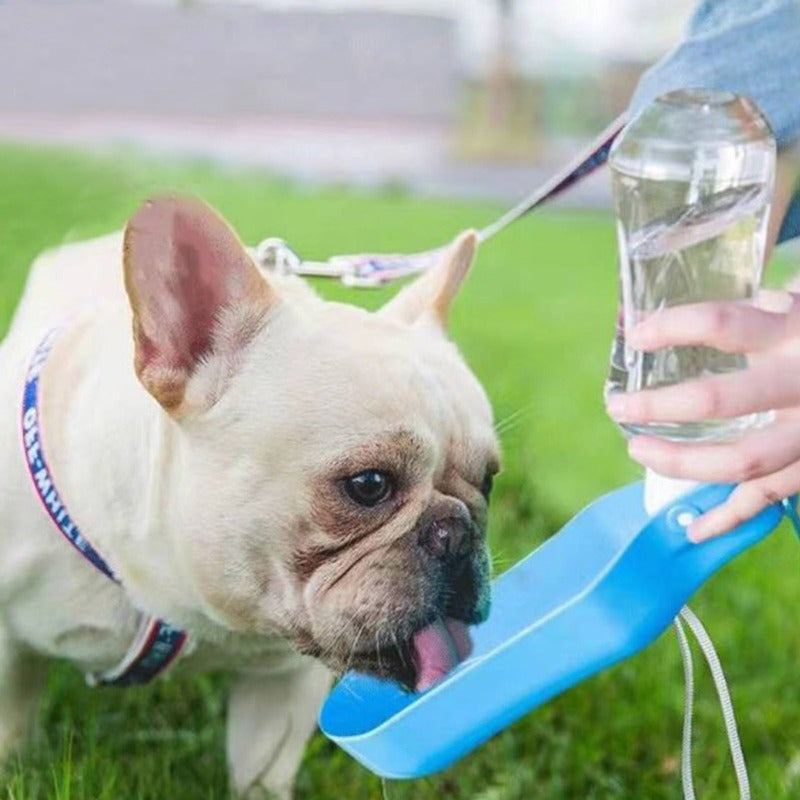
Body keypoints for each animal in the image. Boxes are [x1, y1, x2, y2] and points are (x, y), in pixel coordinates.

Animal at [0, 197, 500, 796]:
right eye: (369, 485)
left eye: (489, 480)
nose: (460, 531)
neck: (181, 600)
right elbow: (12, 731)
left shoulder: (282, 690)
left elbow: (260, 775)